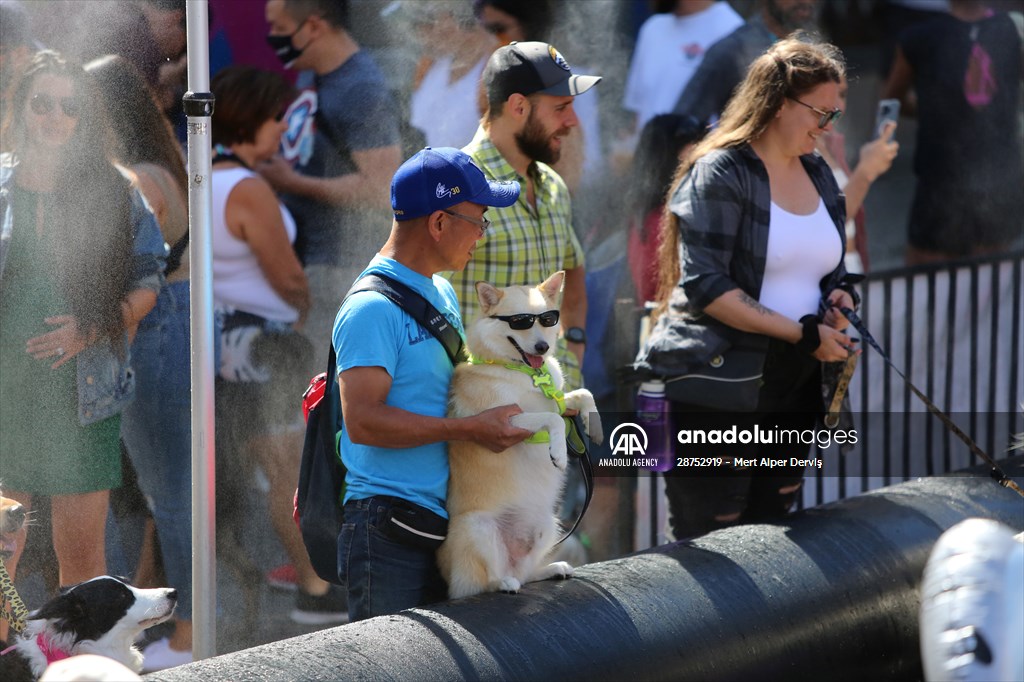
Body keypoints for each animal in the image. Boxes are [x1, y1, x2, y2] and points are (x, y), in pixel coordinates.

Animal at [438, 268, 598, 598]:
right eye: (520, 322)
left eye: (547, 319)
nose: (542, 348)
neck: (526, 373)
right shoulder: (508, 420)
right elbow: (552, 419)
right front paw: (559, 454)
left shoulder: (559, 399)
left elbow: (580, 396)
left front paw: (594, 425)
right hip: (478, 528)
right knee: (483, 585)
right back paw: (502, 583)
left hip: (549, 525)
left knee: (525, 574)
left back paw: (551, 569)